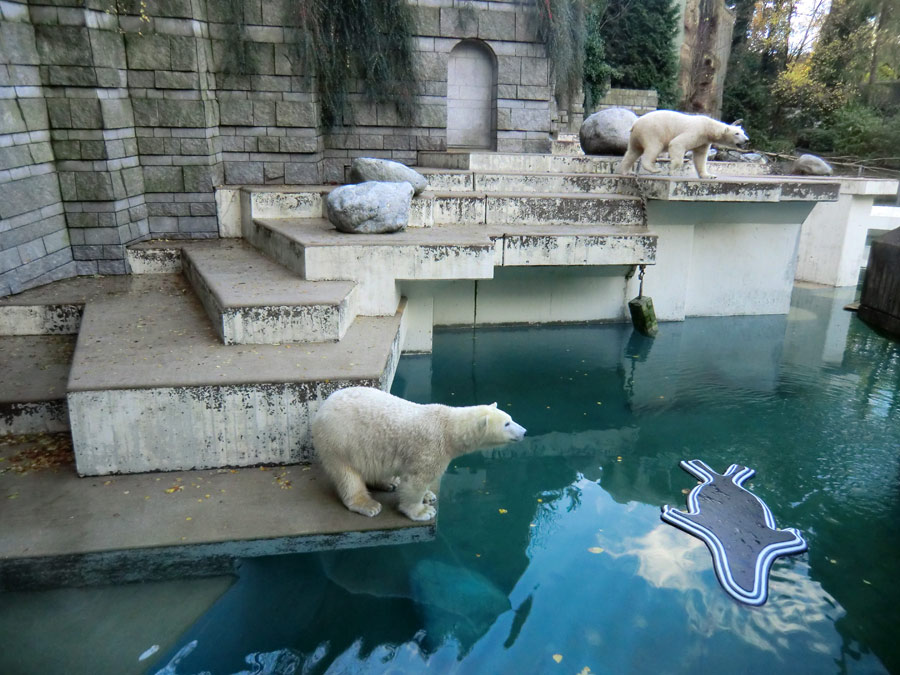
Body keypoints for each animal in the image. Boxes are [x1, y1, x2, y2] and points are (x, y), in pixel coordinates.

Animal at [310, 386, 524, 524]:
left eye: (510, 418)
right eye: (506, 424)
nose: (524, 431)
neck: (447, 428)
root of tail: (323, 406)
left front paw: (429, 496)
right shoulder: (430, 448)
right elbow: (416, 482)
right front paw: (423, 511)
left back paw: (389, 482)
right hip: (339, 439)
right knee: (347, 475)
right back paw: (368, 504)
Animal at [616, 111, 748, 181]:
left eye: (743, 132)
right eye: (736, 133)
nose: (746, 140)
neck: (708, 127)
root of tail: (635, 123)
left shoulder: (703, 141)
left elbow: (700, 157)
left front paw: (709, 175)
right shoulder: (696, 132)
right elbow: (677, 143)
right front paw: (672, 168)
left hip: (636, 136)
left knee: (633, 151)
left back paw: (626, 172)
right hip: (651, 131)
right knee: (654, 147)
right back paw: (654, 168)